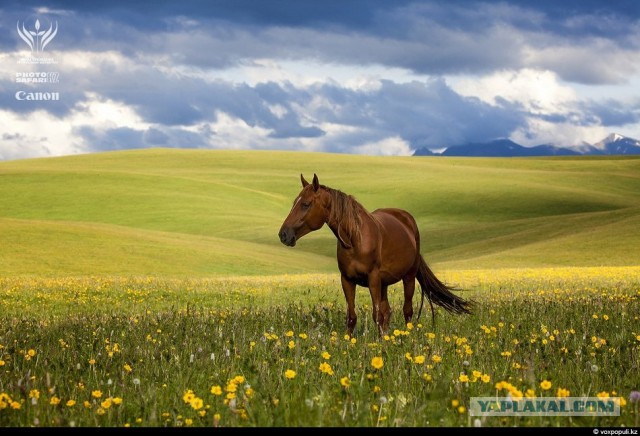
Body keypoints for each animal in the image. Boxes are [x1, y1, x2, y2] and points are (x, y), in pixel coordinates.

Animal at [278, 173, 472, 334]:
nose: (283, 234)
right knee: (388, 312)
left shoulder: (373, 278)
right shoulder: (347, 280)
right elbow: (352, 317)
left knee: (407, 311)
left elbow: (376, 315)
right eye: (294, 203)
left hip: (408, 277)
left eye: (306, 204)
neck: (355, 240)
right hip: (384, 284)